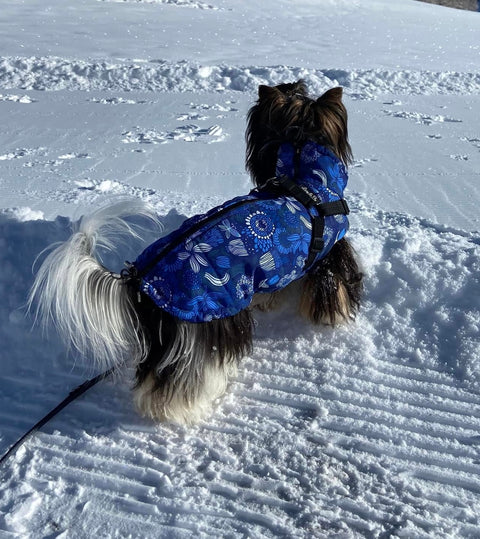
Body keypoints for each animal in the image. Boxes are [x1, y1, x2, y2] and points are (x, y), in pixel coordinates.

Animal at [28, 81, 362, 426]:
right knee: (184, 381)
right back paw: (187, 409)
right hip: (203, 329)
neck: (302, 180)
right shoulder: (331, 254)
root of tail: (139, 282)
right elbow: (334, 289)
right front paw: (335, 319)